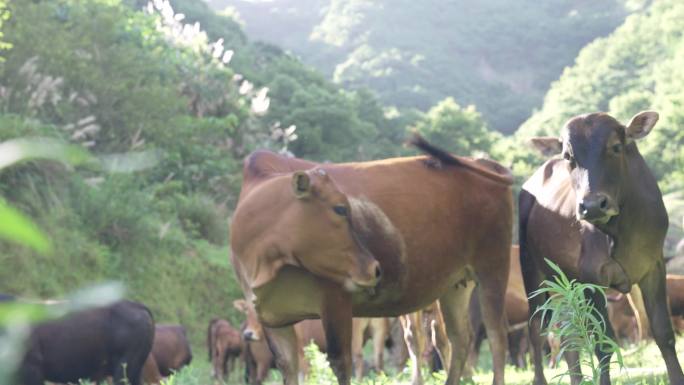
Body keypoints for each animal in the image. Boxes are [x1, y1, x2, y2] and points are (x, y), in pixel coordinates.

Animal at [520, 111, 680, 384]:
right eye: (568, 156)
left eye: (615, 147)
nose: (593, 206)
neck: (624, 229)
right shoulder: (591, 278)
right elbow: (603, 344)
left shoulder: (654, 267)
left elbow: (663, 333)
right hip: (533, 272)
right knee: (537, 329)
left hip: (563, 282)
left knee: (567, 335)